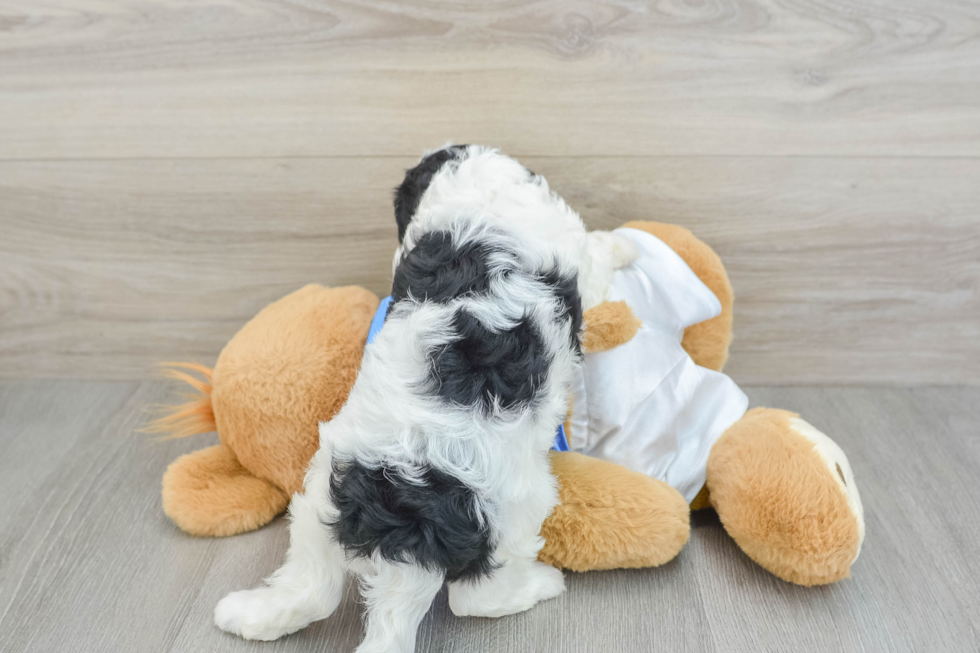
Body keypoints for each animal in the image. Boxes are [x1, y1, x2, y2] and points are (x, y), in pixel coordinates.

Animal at [214, 146, 636, 652]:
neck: (478, 199)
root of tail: (404, 533)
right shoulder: (577, 260)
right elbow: (599, 254)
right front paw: (624, 245)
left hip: (318, 502)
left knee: (311, 588)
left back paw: (246, 613)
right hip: (513, 511)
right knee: (476, 597)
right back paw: (541, 584)